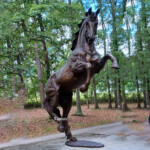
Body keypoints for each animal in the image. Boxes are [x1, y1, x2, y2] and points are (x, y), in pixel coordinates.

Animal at [43, 7, 119, 142]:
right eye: (87, 23)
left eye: (97, 23)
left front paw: (115, 65)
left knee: (62, 115)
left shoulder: (97, 67)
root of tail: (48, 82)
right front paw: (84, 87)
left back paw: (70, 136)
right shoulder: (76, 66)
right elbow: (88, 65)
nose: (91, 38)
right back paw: (60, 127)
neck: (87, 49)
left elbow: (107, 55)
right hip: (54, 95)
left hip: (67, 100)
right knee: (50, 109)